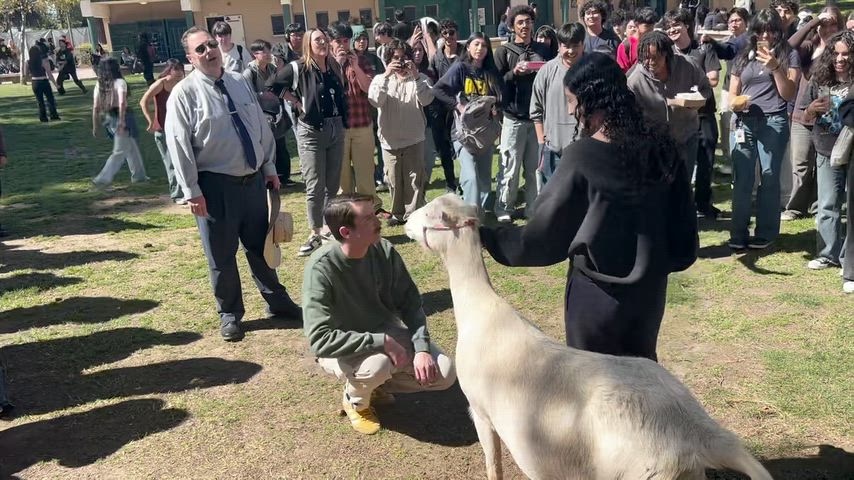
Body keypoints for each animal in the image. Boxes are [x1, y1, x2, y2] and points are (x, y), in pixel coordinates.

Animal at [403, 194, 773, 480]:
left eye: (429, 213)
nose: (405, 221)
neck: (481, 310)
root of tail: (696, 431)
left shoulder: (480, 411)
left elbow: (493, 463)